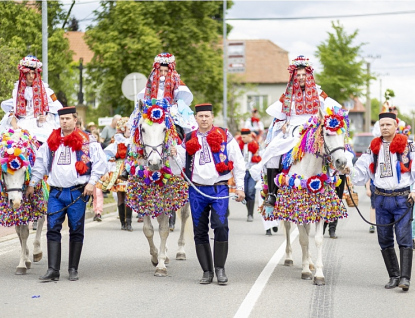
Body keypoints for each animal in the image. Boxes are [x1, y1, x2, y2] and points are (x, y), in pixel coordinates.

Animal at [0, 129, 47, 274]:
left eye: (24, 171)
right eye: (5, 172)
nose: (15, 201)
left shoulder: (26, 202)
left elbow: (25, 232)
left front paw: (21, 264)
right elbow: (19, 231)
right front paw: (25, 259)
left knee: (41, 219)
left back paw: (37, 251)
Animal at [126, 99, 191, 276]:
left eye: (164, 129)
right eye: (142, 129)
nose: (154, 163)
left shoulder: (167, 194)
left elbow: (164, 229)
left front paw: (160, 265)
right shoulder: (143, 195)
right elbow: (148, 229)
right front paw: (156, 257)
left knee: (184, 216)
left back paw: (181, 251)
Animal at [264, 107, 352, 286]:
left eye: (344, 135)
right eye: (327, 133)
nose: (341, 162)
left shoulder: (319, 208)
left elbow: (317, 239)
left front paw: (318, 273)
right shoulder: (296, 208)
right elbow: (303, 239)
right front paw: (305, 271)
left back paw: (310, 262)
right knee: (289, 229)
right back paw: (290, 258)